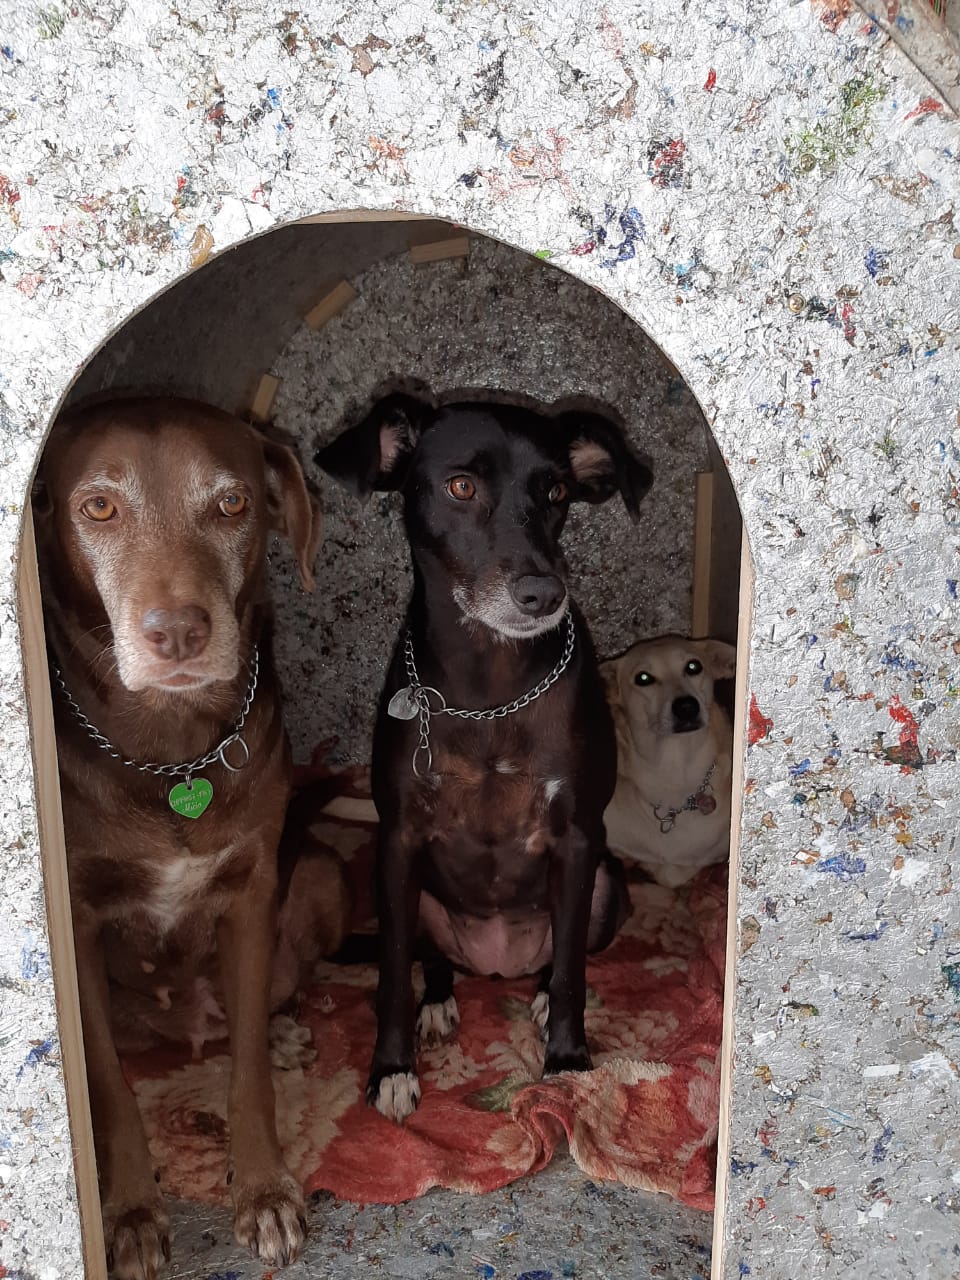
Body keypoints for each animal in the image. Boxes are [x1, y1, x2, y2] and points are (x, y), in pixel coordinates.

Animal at [34, 399, 337, 1280]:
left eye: (232, 503)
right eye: (98, 507)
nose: (177, 634)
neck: (172, 753)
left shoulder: (252, 894)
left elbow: (248, 1077)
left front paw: (263, 1189)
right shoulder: (79, 927)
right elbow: (109, 1087)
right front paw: (131, 1214)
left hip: (322, 876)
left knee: (255, 1013)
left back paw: (285, 1032)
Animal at [316, 389, 655, 1121]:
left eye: (556, 492)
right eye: (461, 487)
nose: (543, 595)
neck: (491, 686)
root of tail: (495, 965)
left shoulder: (578, 840)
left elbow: (571, 971)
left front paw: (567, 1061)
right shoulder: (398, 841)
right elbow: (391, 972)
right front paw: (392, 1069)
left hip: (608, 888)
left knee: (560, 956)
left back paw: (534, 992)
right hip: (414, 896)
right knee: (428, 957)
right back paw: (439, 1000)